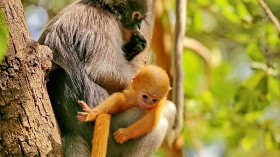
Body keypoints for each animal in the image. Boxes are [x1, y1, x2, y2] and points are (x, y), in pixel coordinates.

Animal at [38, 0, 176, 157]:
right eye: (136, 17)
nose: (139, 28)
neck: (101, 7)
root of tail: (71, 131)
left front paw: (136, 46)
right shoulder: (105, 23)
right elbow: (103, 70)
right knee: (166, 112)